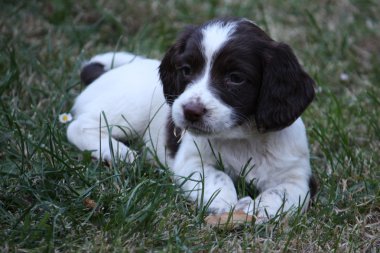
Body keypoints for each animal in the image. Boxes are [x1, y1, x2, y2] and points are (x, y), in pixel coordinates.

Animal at [67, 17, 316, 223]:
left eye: (235, 78)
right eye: (186, 70)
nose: (191, 111)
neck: (242, 138)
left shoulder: (298, 178)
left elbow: (280, 193)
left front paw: (254, 209)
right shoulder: (191, 162)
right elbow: (218, 176)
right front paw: (225, 203)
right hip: (129, 108)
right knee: (77, 126)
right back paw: (119, 153)